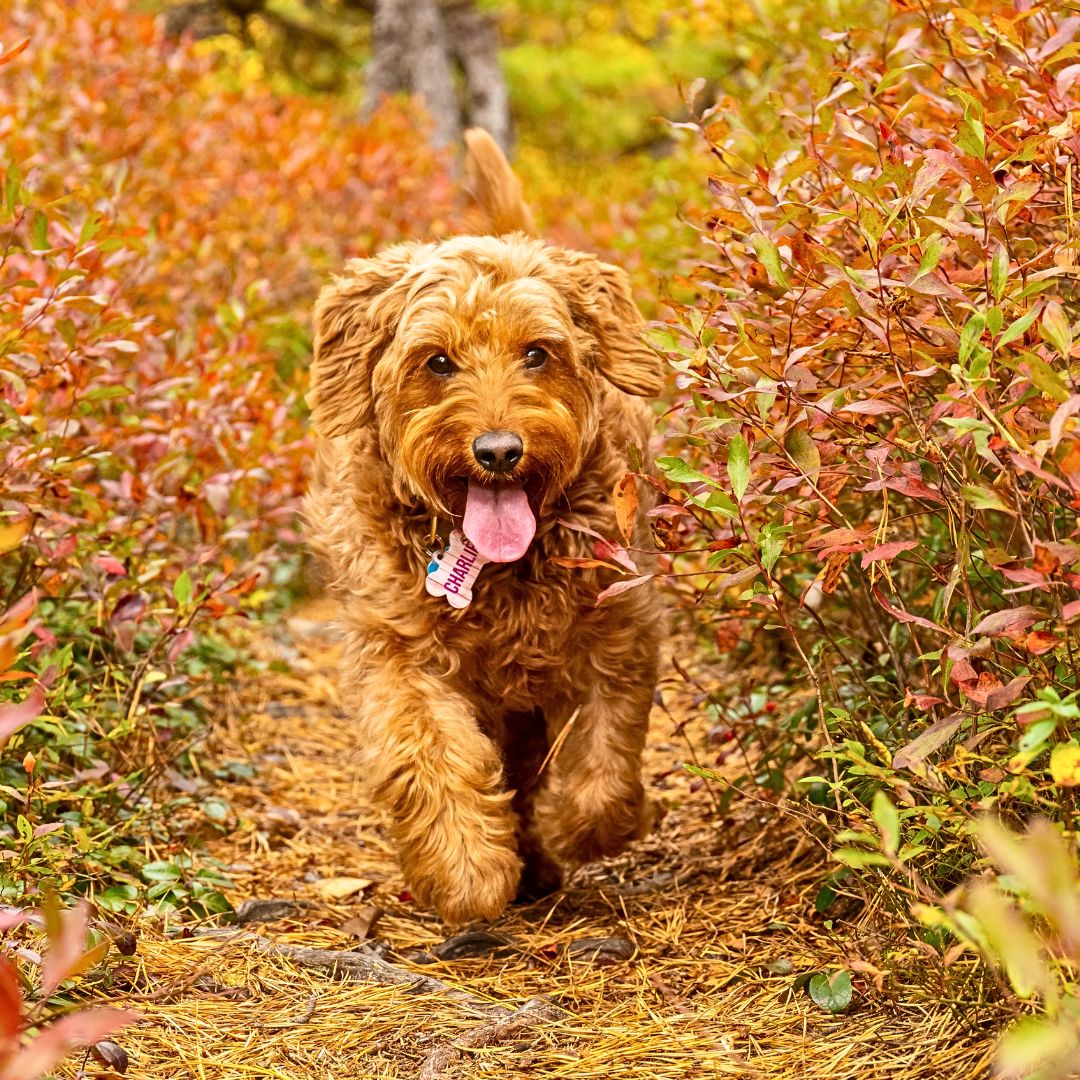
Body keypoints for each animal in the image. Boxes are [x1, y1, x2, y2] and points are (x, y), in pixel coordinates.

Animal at [304, 126, 665, 920]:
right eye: (437, 361)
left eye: (537, 352)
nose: (498, 451)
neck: (500, 571)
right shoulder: (400, 652)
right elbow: (430, 754)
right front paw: (465, 867)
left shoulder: (616, 636)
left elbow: (604, 764)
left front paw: (570, 828)